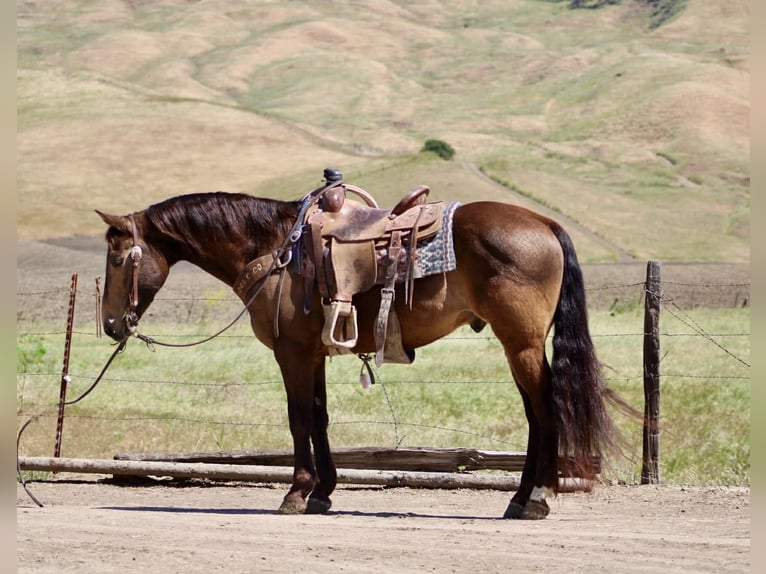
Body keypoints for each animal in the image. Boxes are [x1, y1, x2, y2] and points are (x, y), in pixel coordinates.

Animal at [96, 175, 627, 519]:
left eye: (119, 258)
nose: (110, 324)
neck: (273, 249)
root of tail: (544, 223)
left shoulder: (290, 352)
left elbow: (299, 418)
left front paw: (295, 493)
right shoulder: (312, 353)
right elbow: (320, 416)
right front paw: (322, 493)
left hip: (520, 342)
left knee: (545, 409)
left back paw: (535, 498)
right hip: (519, 344)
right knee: (537, 414)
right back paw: (519, 499)